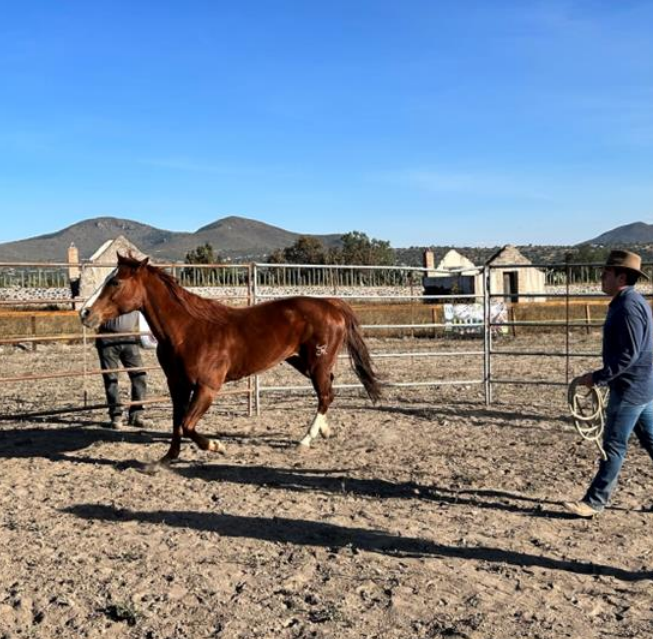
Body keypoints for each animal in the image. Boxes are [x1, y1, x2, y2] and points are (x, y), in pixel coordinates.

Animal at [80, 254, 381, 470]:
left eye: (115, 282)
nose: (85, 313)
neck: (186, 330)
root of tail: (332, 304)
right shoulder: (177, 386)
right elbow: (177, 423)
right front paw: (165, 460)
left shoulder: (207, 388)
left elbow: (188, 425)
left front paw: (217, 446)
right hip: (303, 362)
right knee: (328, 390)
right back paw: (323, 432)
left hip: (317, 362)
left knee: (325, 394)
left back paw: (306, 439)